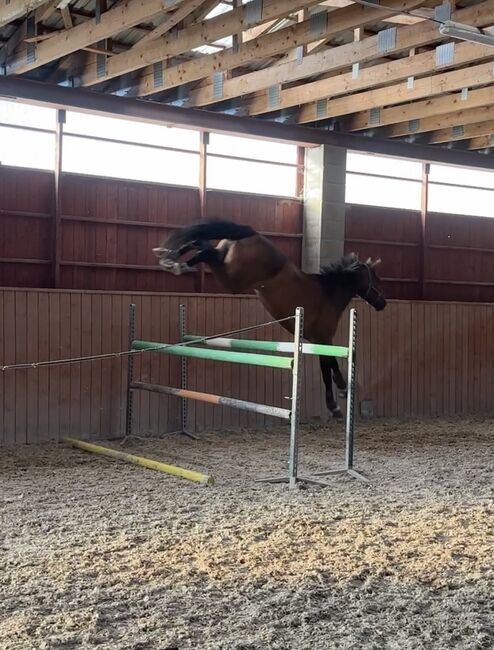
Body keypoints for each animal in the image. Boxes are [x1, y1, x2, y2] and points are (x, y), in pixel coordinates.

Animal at [151, 220, 386, 418]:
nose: (383, 303)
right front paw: (338, 399)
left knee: (201, 244)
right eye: (376, 279)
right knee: (205, 251)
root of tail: (251, 233)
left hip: (226, 266)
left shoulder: (320, 341)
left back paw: (170, 260)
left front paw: (341, 392)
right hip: (232, 278)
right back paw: (174, 262)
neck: (329, 292)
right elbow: (328, 368)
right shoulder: (323, 339)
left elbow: (330, 365)